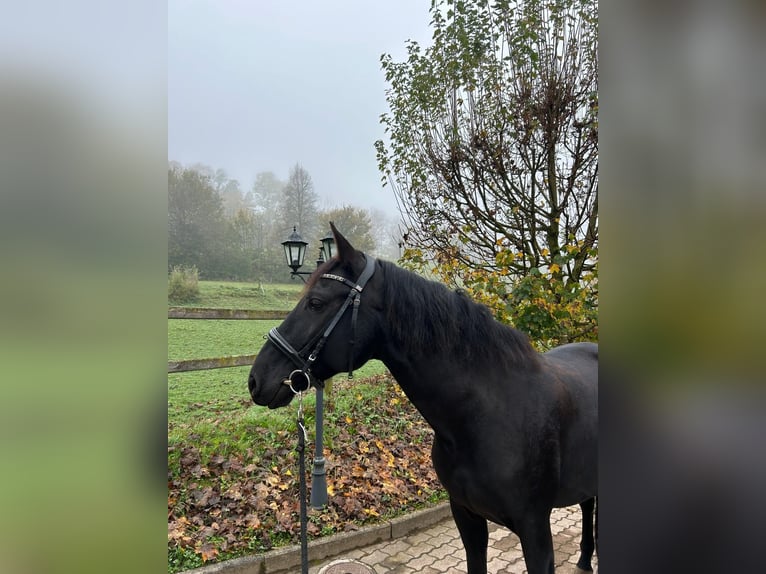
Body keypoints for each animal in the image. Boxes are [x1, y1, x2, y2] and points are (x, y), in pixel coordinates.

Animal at [252, 226, 600, 574]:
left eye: (315, 303)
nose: (256, 379)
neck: (486, 415)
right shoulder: (467, 517)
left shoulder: (535, 530)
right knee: (587, 503)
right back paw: (584, 559)